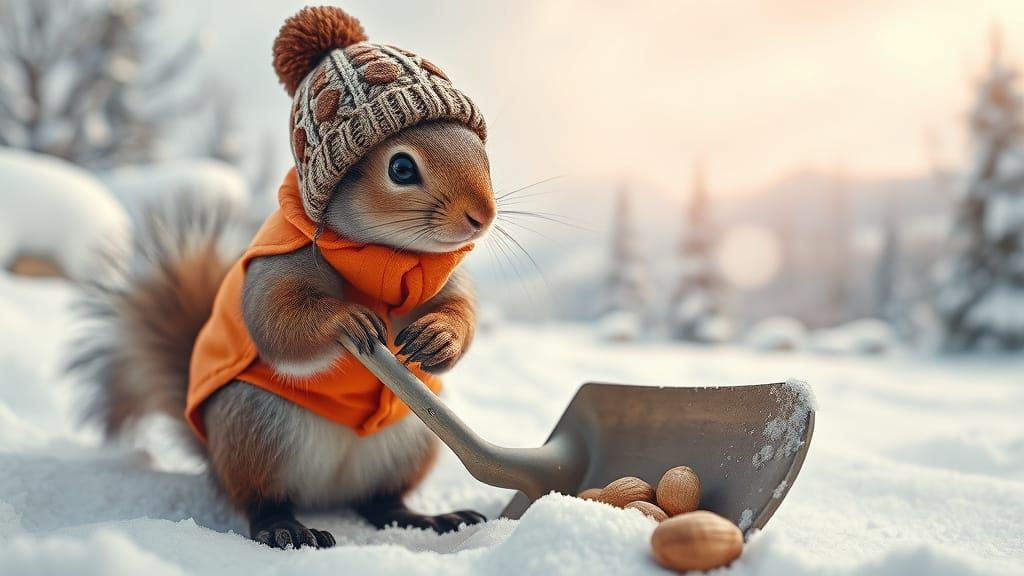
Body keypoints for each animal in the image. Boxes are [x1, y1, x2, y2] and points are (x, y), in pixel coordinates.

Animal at [71, 7, 496, 550]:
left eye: (482, 150)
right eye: (401, 167)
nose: (483, 216)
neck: (387, 255)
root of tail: (326, 493)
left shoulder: (444, 277)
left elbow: (463, 311)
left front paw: (439, 336)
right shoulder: (276, 265)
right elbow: (276, 321)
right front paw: (346, 321)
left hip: (411, 441)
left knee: (382, 502)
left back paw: (429, 519)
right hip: (257, 428)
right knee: (260, 500)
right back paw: (287, 529)